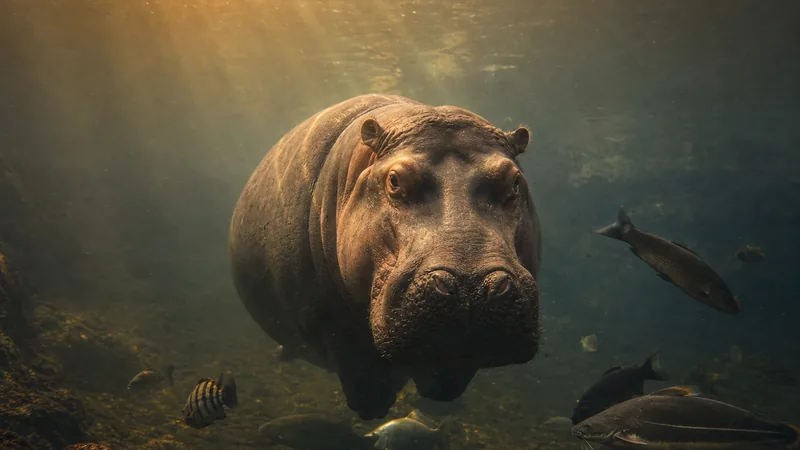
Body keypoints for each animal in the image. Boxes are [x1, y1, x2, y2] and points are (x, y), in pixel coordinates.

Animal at [228, 94, 542, 420]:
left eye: (515, 181)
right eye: (394, 180)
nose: (472, 287)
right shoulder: (330, 322)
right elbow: (365, 382)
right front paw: (376, 403)